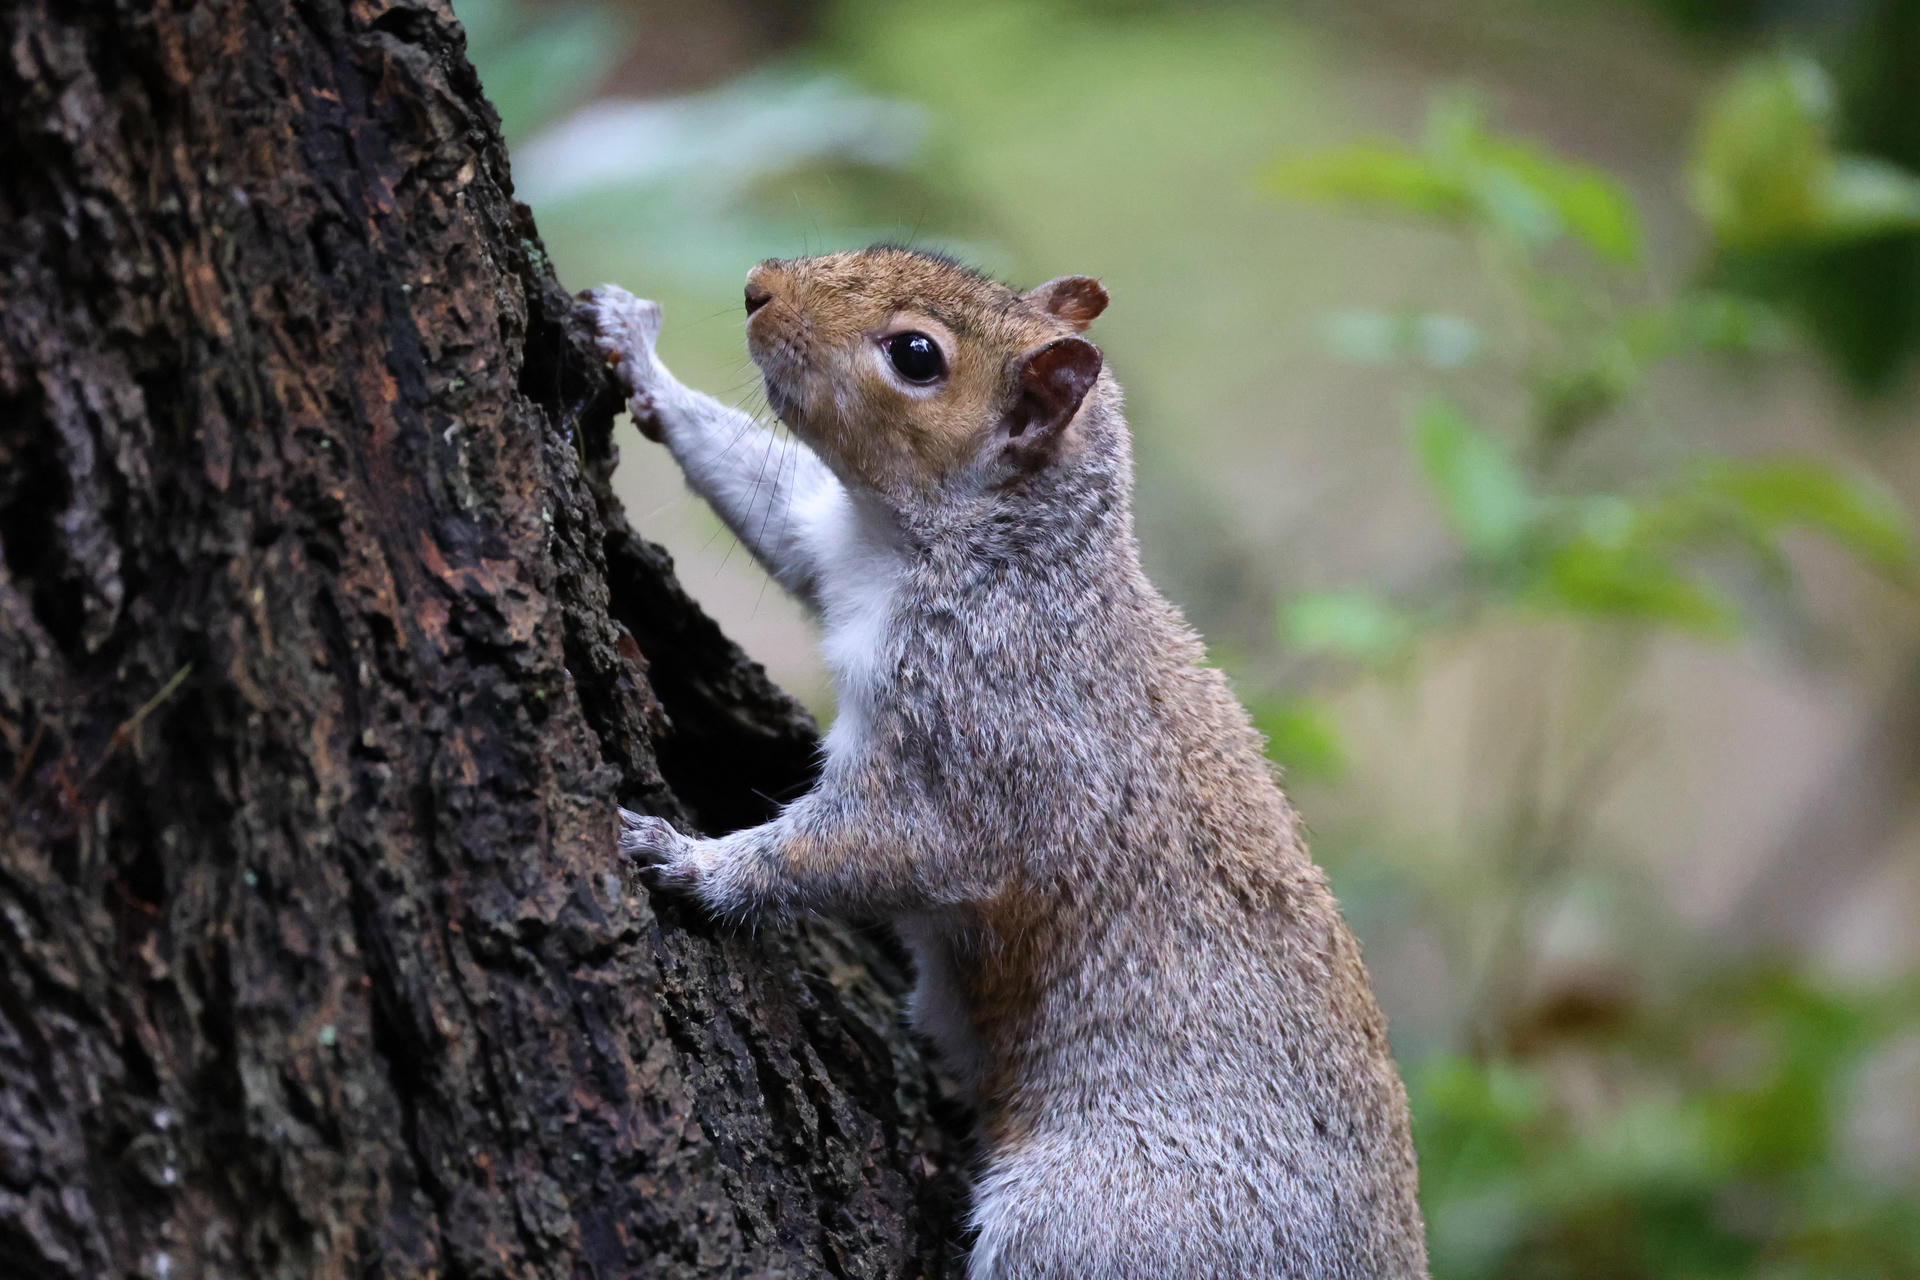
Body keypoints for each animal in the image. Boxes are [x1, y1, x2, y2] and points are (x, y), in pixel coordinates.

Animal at [579, 246, 1429, 1279]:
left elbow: (868, 848)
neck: (996, 553)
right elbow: (769, 500)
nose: (758, 287)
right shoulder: (836, 551)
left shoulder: (985, 739)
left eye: (915, 356)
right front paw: (635, 349)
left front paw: (689, 862)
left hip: (1103, 1218)